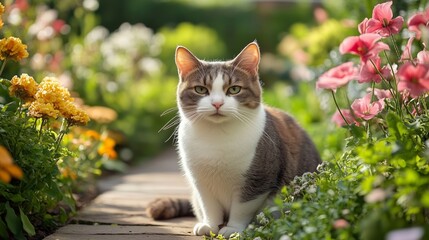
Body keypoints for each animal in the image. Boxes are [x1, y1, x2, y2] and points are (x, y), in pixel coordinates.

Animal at [145, 41, 320, 238]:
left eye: (234, 89)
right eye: (200, 89)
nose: (217, 103)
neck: (217, 137)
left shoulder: (258, 179)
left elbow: (242, 207)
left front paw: (233, 229)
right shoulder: (200, 181)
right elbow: (209, 205)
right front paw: (210, 225)